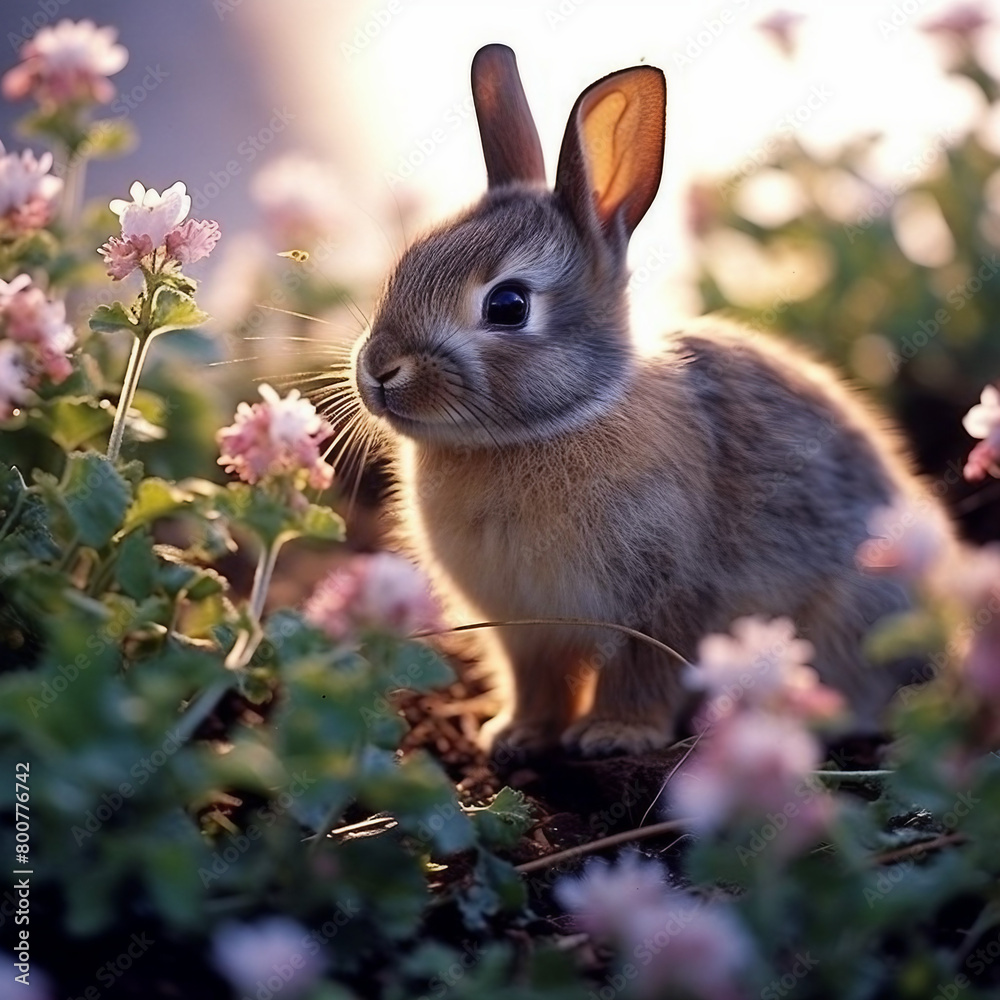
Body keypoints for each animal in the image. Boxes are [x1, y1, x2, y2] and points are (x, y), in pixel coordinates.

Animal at [349, 43, 953, 758]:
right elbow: (537, 682)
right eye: (406, 263)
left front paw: (614, 735)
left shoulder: (665, 602)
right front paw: (515, 736)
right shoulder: (525, 631)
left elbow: (644, 673)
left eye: (508, 305)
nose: (379, 369)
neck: (554, 424)